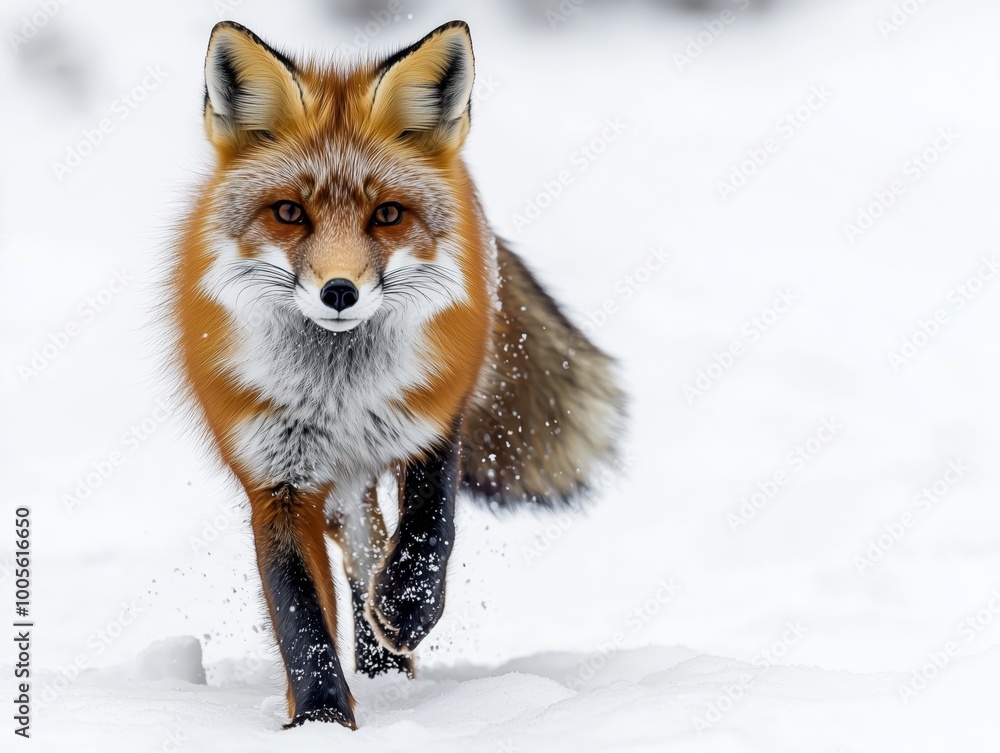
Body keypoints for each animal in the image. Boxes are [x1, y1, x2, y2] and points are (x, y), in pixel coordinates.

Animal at [170, 19, 624, 729]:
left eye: (387, 214)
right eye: (289, 213)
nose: (338, 292)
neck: (338, 392)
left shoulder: (434, 418)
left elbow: (430, 525)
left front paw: (409, 609)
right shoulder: (275, 479)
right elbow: (300, 615)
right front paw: (322, 720)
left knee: (380, 541)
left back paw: (389, 658)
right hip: (334, 485)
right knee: (360, 543)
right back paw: (379, 666)